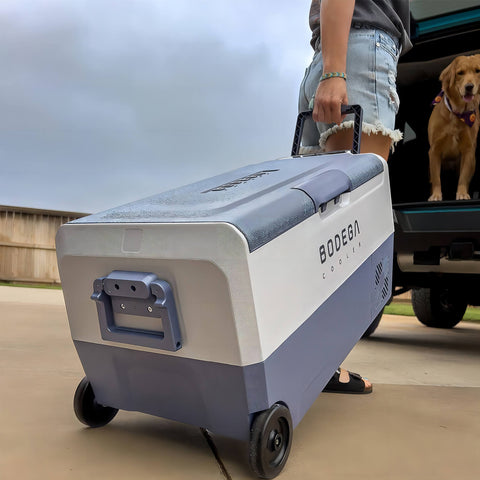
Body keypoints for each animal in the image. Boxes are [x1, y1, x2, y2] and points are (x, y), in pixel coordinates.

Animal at [428, 54, 480, 201]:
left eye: (477, 71)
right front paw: (436, 195)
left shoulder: (468, 150)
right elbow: (436, 177)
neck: (458, 113)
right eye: (460, 73)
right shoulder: (434, 149)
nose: (469, 86)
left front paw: (462, 193)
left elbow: (463, 177)